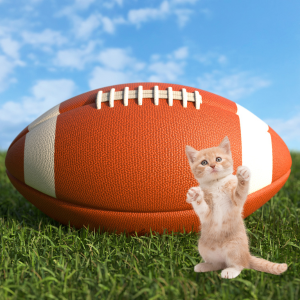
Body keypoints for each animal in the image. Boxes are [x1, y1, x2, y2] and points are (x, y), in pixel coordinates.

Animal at [185, 136, 288, 278]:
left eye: (218, 159)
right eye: (204, 162)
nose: (212, 165)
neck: (216, 184)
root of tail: (247, 255)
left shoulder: (236, 201)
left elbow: (241, 191)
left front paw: (243, 175)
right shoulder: (207, 213)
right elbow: (202, 208)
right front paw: (195, 196)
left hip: (235, 247)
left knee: (240, 265)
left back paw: (231, 271)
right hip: (203, 247)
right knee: (219, 264)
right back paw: (205, 266)